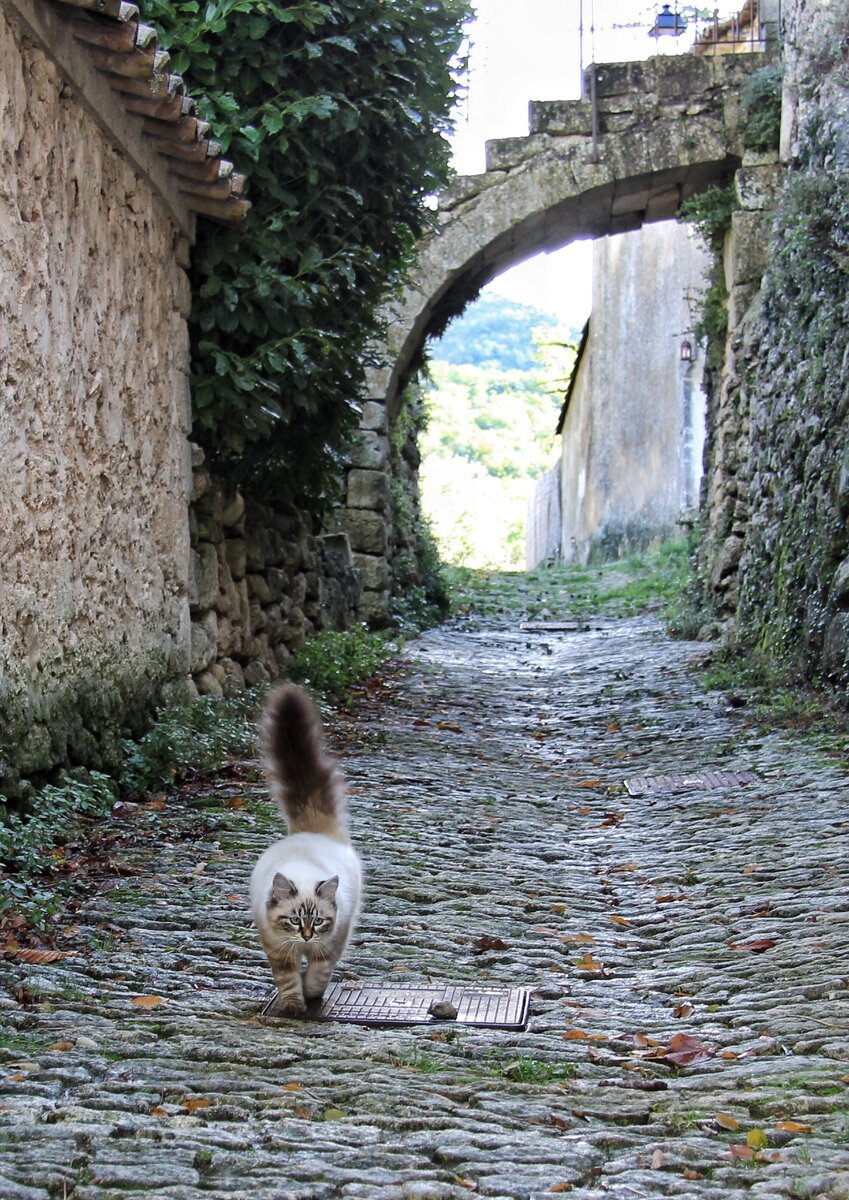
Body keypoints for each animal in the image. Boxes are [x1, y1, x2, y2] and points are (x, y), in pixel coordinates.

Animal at [248, 686, 362, 1012]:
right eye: (295, 920)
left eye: (319, 921)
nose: (308, 936)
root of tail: (310, 830)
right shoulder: (278, 950)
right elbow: (288, 981)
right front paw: (293, 1007)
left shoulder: (330, 945)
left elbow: (317, 975)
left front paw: (310, 995)